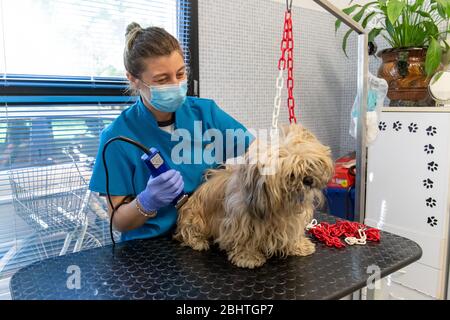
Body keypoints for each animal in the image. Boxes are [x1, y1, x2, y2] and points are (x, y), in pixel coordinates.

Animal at [173, 124, 334, 268]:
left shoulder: (293, 222)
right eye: (291, 174)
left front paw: (299, 246)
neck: (281, 205)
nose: (308, 180)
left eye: (309, 164)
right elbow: (245, 240)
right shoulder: (241, 222)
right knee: (188, 231)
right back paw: (198, 241)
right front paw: (248, 257)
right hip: (194, 218)